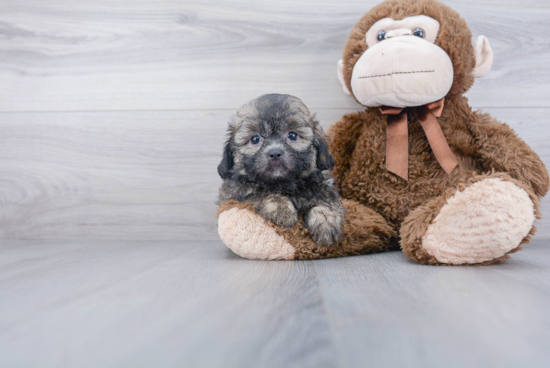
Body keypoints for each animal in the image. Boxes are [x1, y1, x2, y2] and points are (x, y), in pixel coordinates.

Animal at [219, 93, 344, 246]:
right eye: (255, 139)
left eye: (292, 135)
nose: (275, 153)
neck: (285, 183)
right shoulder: (234, 191)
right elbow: (260, 191)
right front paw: (282, 209)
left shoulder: (325, 184)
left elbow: (327, 199)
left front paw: (326, 220)